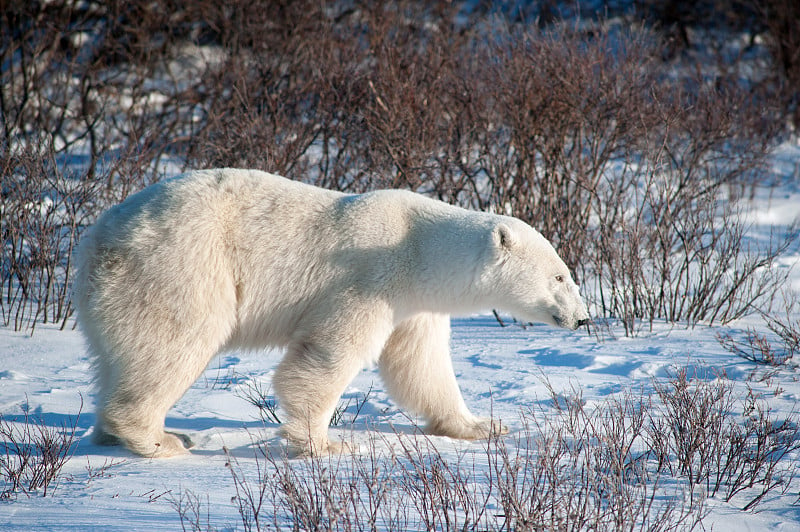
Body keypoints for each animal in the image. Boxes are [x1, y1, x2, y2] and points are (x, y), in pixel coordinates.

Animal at [73, 169, 588, 458]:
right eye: (560, 276)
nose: (583, 318)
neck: (419, 247)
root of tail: (99, 236)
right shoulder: (369, 278)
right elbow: (326, 355)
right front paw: (325, 444)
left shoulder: (413, 303)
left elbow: (420, 365)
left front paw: (481, 426)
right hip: (181, 265)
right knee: (173, 341)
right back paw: (160, 440)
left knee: (119, 355)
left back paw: (109, 434)